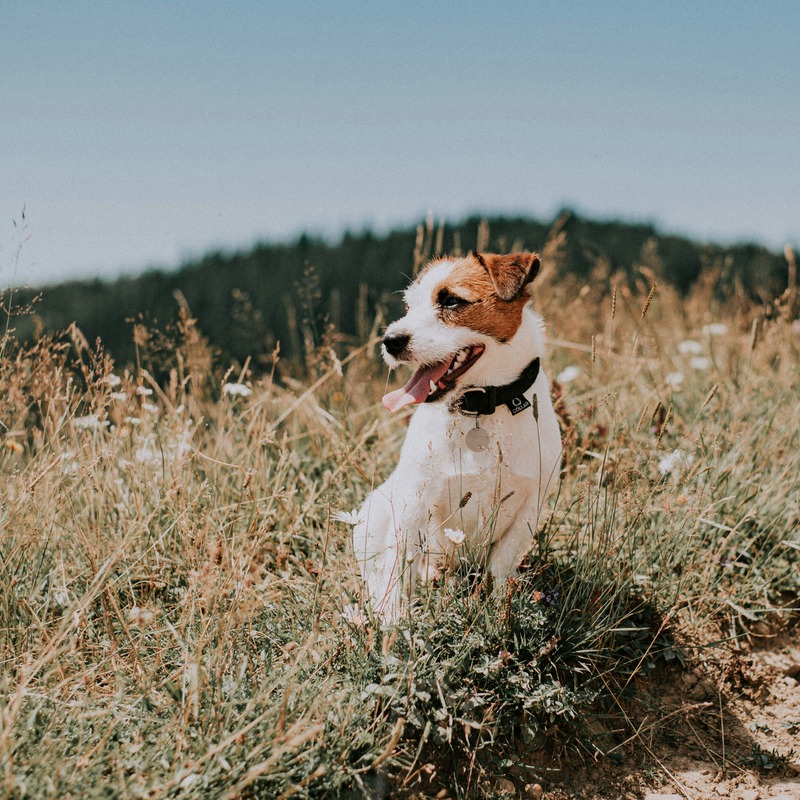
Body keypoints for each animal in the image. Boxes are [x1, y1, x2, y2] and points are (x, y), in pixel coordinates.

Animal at [350, 253, 564, 620]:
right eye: (409, 306)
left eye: (451, 300)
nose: (390, 341)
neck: (484, 408)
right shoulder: (413, 502)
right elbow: (398, 566)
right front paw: (393, 620)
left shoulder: (529, 508)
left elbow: (500, 569)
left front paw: (499, 614)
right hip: (373, 514)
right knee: (378, 568)